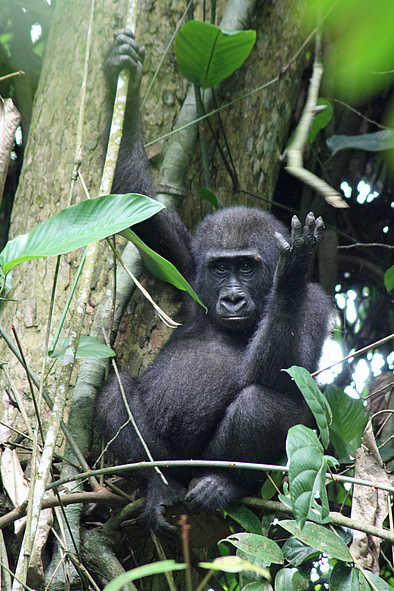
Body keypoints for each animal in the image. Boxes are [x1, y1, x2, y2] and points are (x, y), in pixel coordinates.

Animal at [96, 30, 332, 536]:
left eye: (248, 267)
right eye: (222, 269)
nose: (233, 298)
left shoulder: (319, 302)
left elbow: (285, 371)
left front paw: (293, 270)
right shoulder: (187, 263)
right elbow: (143, 212)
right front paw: (126, 80)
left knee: (263, 402)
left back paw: (225, 485)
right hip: (173, 464)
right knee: (114, 392)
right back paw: (158, 484)